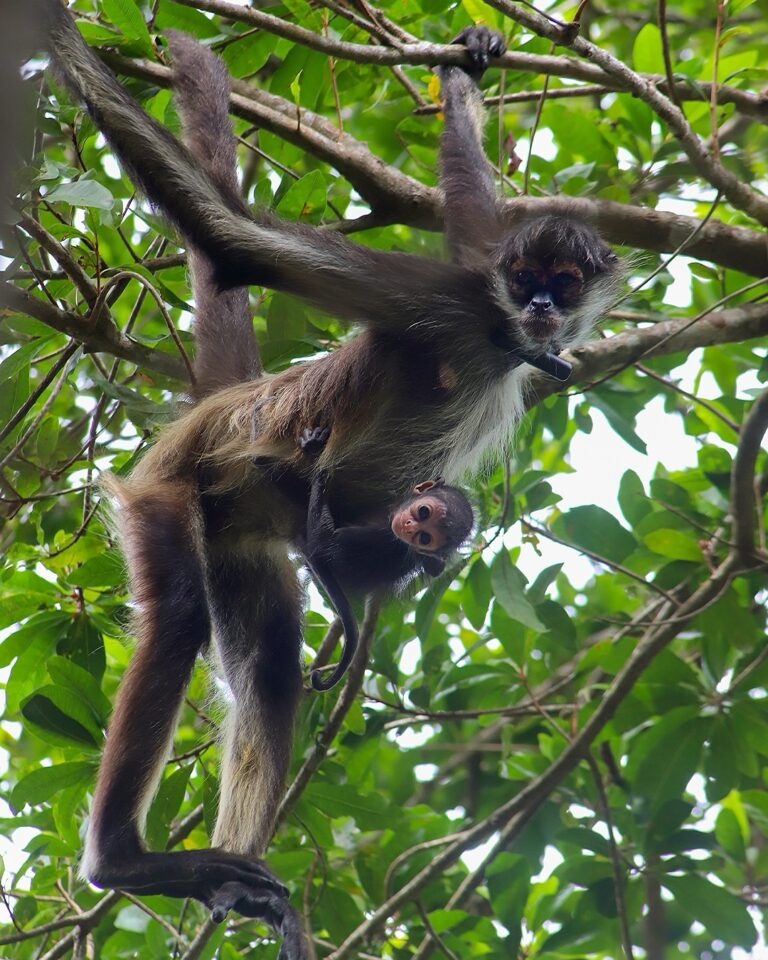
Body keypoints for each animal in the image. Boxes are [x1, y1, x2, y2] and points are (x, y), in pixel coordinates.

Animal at [288, 427, 474, 691]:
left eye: (425, 537)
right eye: (423, 512)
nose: (409, 526)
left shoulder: (380, 539)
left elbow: (321, 543)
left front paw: (315, 457)